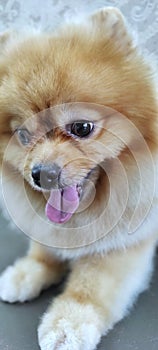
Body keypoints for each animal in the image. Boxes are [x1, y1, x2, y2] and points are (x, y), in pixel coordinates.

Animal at [0, 6, 158, 350]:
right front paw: (26, 272)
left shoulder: (125, 242)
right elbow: (43, 248)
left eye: (82, 128)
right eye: (22, 135)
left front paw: (68, 323)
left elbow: (91, 284)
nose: (42, 175)